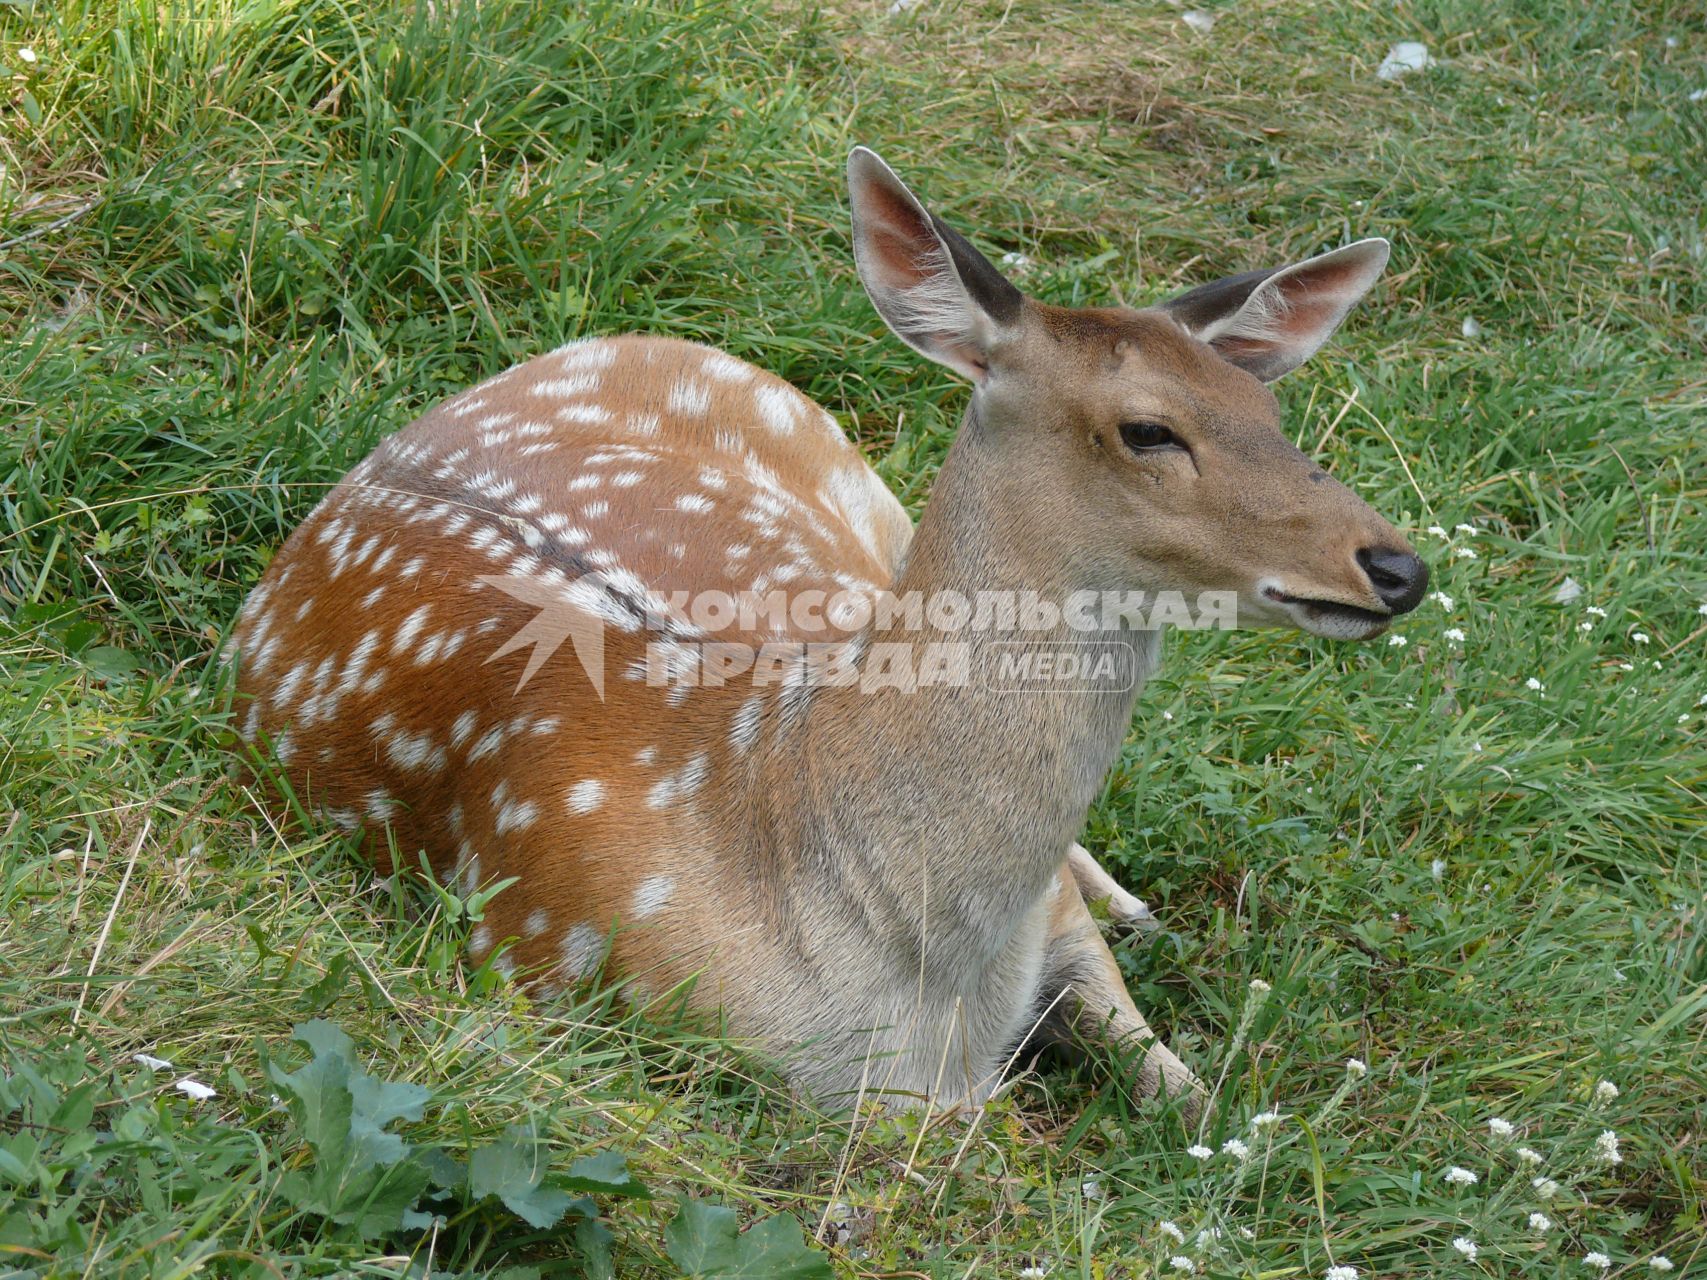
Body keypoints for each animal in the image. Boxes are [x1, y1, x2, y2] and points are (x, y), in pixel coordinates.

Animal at [230, 147, 1427, 1112]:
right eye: (1147, 430)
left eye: (1270, 411)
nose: (1397, 567)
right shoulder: (545, 955)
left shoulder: (1046, 931)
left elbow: (1189, 1094)